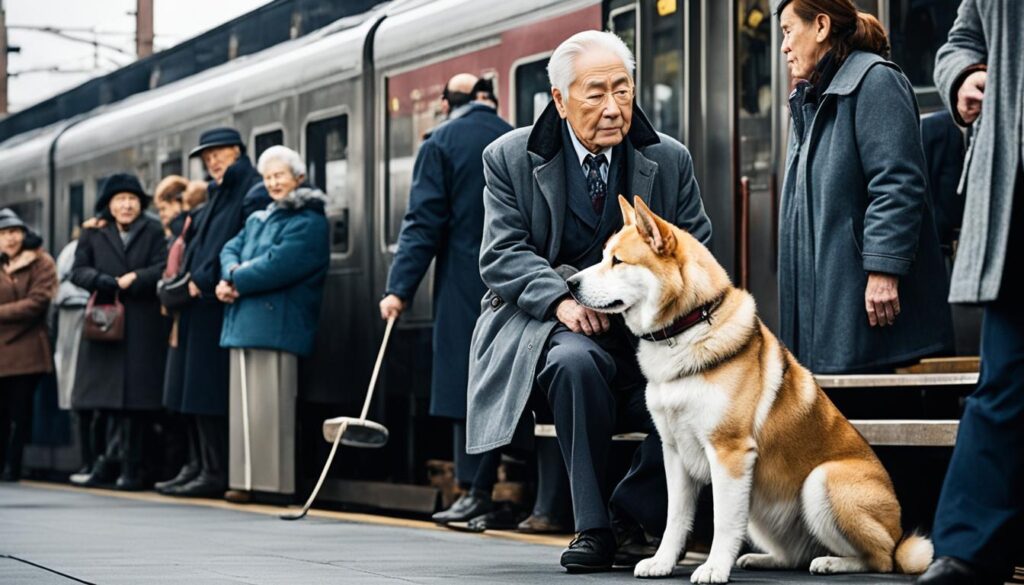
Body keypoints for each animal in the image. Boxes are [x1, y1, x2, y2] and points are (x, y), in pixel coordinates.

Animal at [565, 197, 933, 585]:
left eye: (617, 261)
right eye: (603, 256)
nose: (570, 283)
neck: (686, 328)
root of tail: (898, 532)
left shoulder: (730, 454)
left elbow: (723, 522)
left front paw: (713, 568)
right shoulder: (674, 452)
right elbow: (675, 519)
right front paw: (662, 563)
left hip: (821, 481)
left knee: (881, 559)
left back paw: (834, 563)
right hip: (763, 510)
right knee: (795, 556)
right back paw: (764, 559)